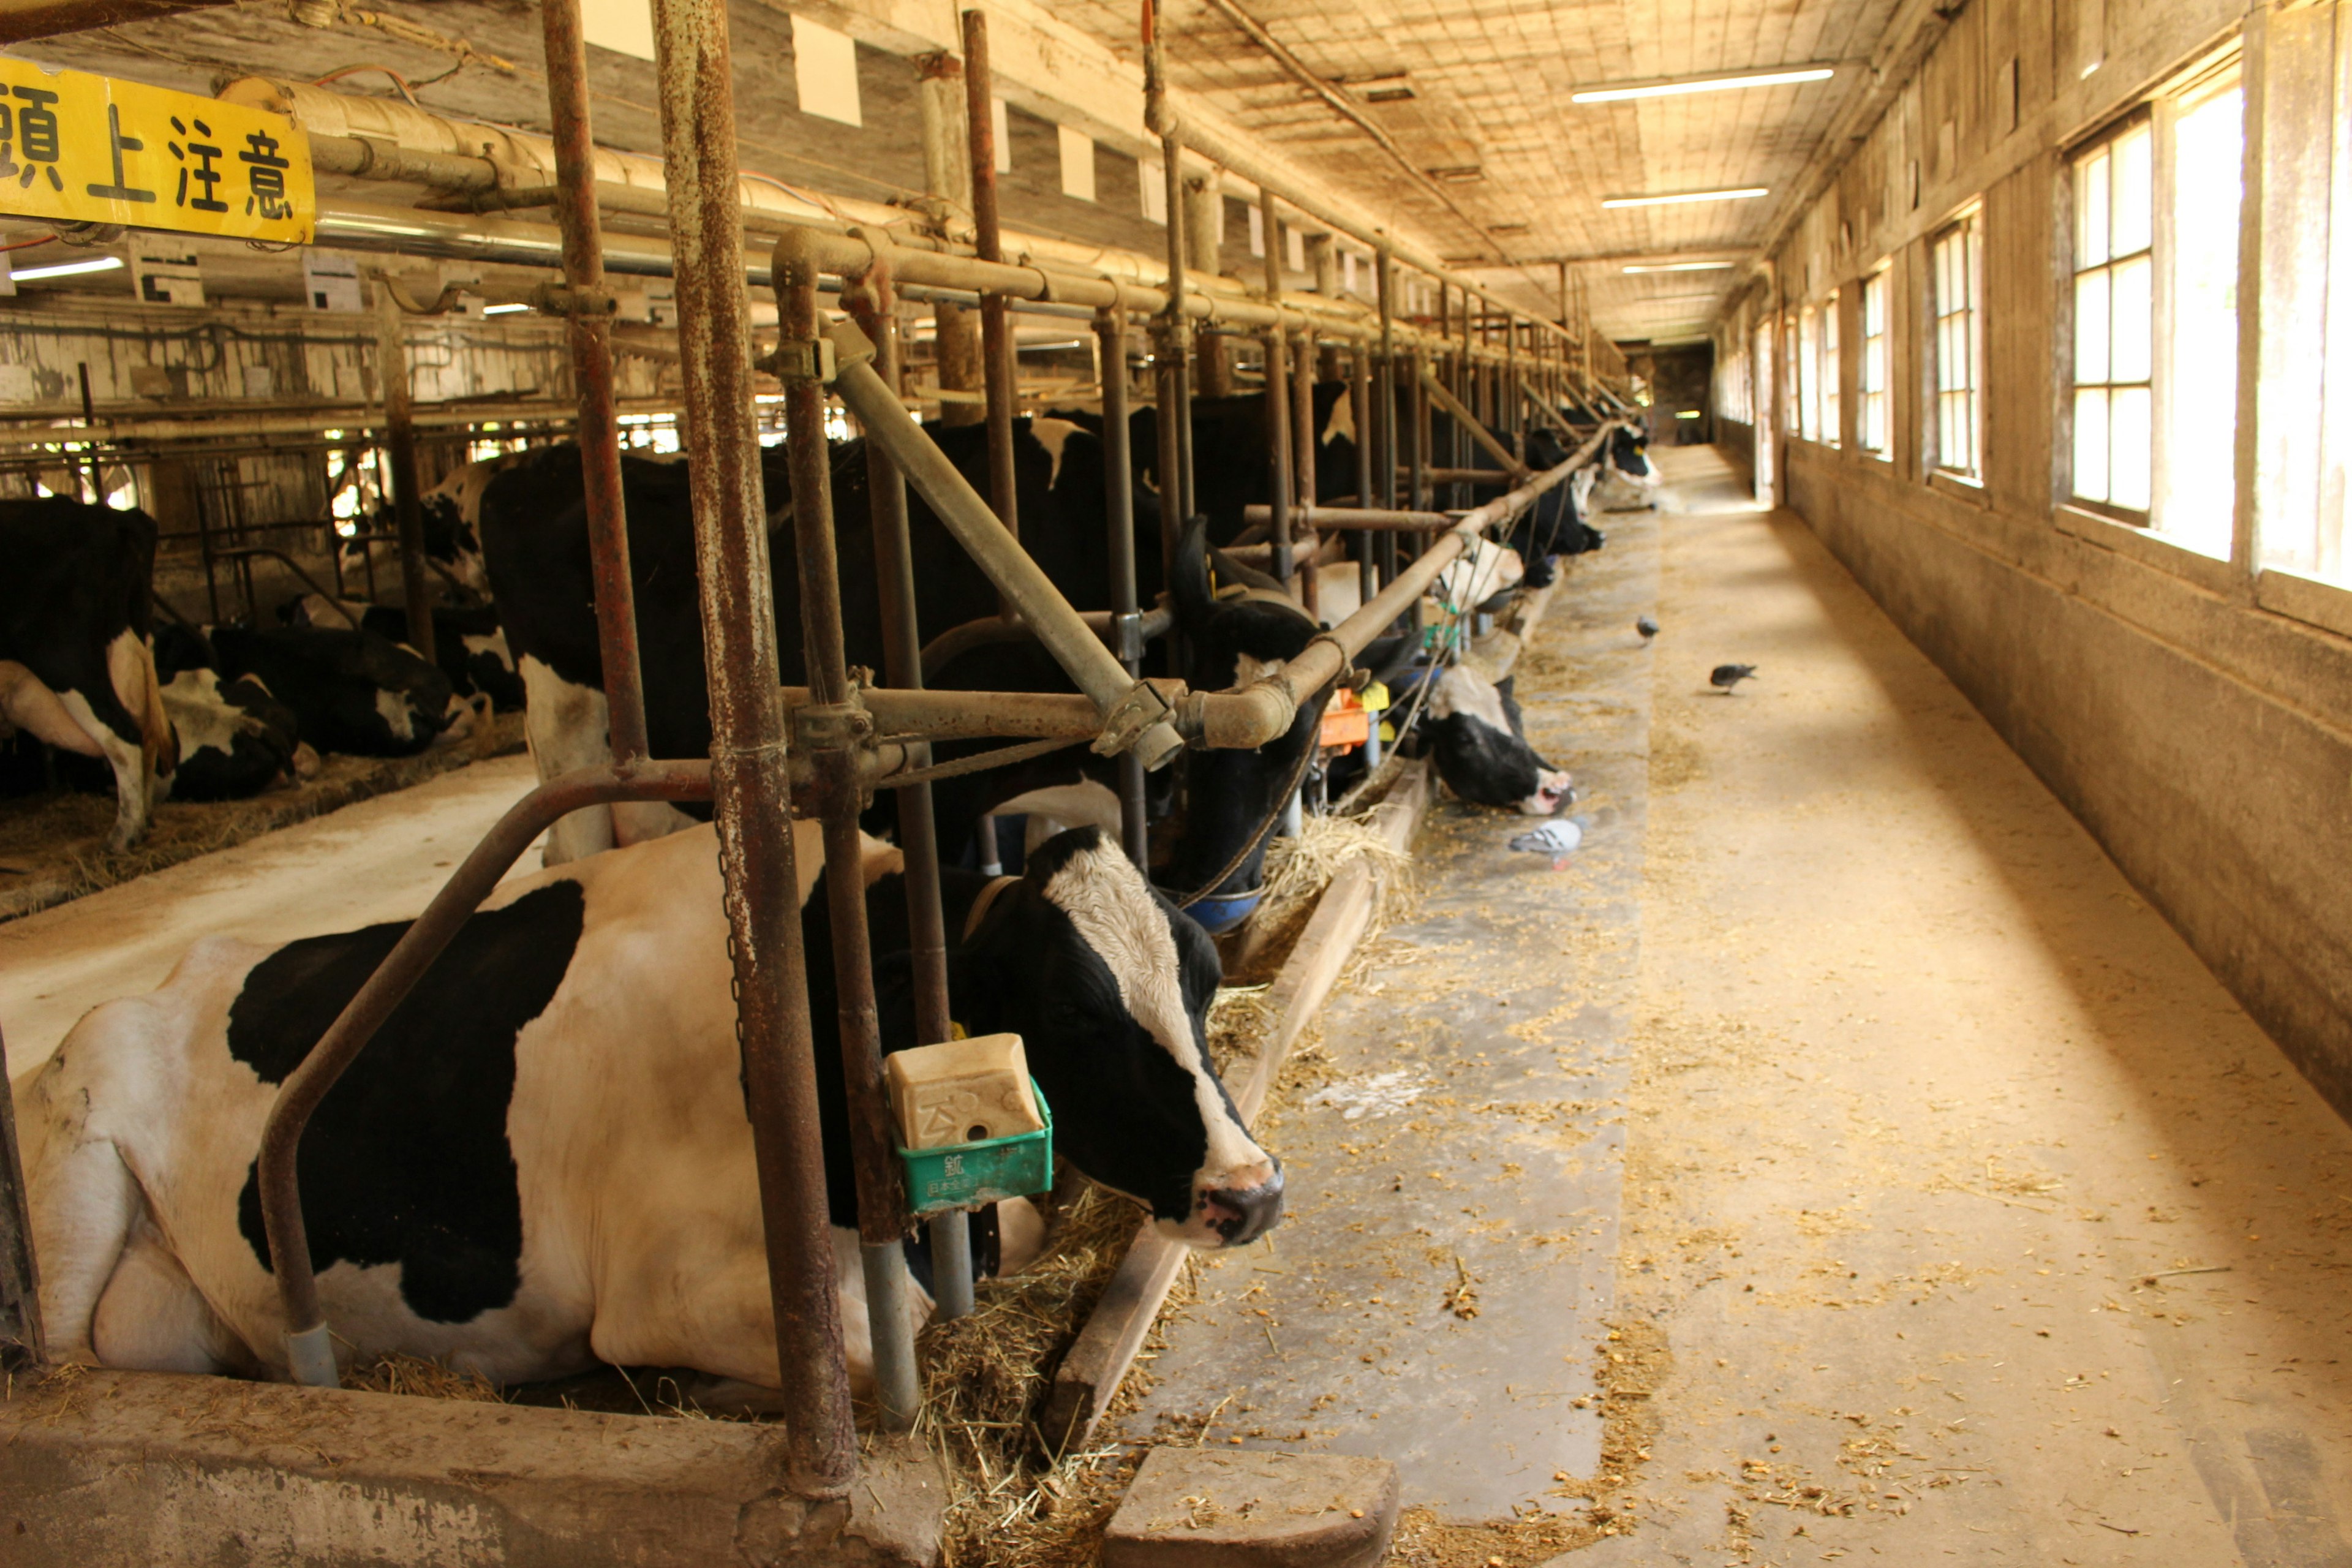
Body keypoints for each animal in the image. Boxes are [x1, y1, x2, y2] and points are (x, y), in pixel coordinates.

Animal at [0, 500, 174, 846]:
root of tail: (112, 516)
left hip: (64, 659)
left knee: (122, 734)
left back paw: (125, 833)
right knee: (145, 730)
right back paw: (144, 819)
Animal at [18, 827, 1279, 1392]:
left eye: (1204, 974)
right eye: (1071, 1013)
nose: (1251, 1190)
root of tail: (159, 982)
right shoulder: (672, 1290)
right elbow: (885, 1340)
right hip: (72, 1188)